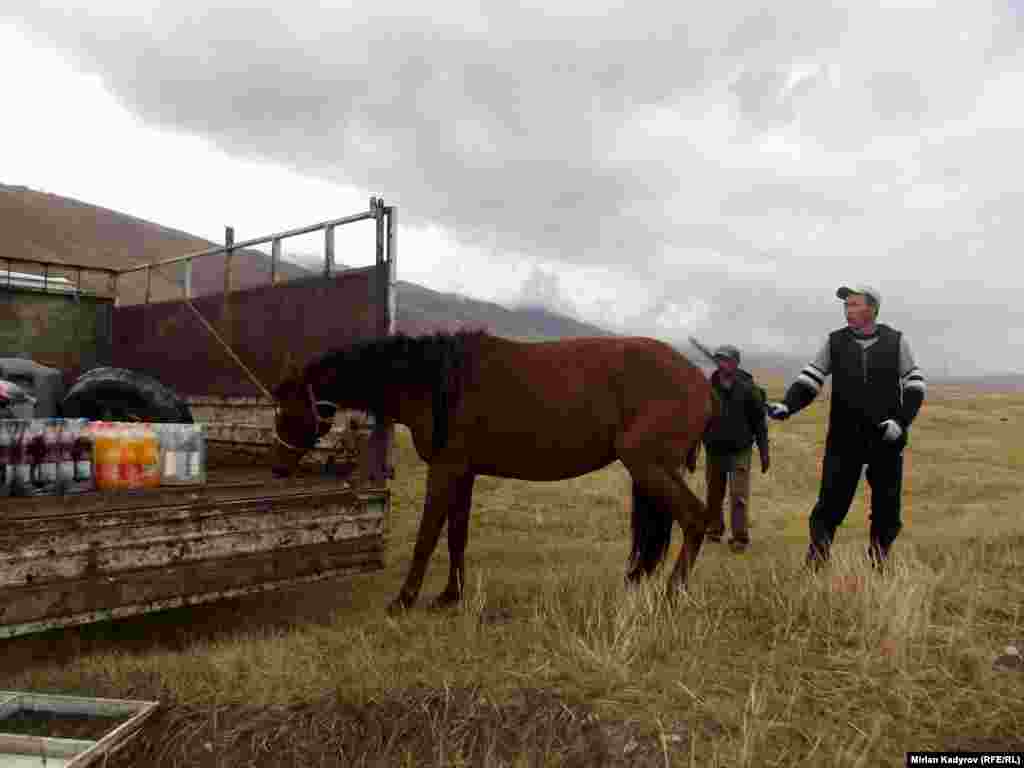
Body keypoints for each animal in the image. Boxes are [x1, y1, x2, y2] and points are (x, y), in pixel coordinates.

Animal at [272, 331, 720, 614]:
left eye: (287, 411)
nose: (277, 468)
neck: (435, 381)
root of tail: (702, 383)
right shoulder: (464, 472)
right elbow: (456, 535)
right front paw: (449, 595)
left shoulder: (446, 469)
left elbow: (426, 536)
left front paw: (404, 599)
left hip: (648, 466)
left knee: (695, 519)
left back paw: (672, 596)